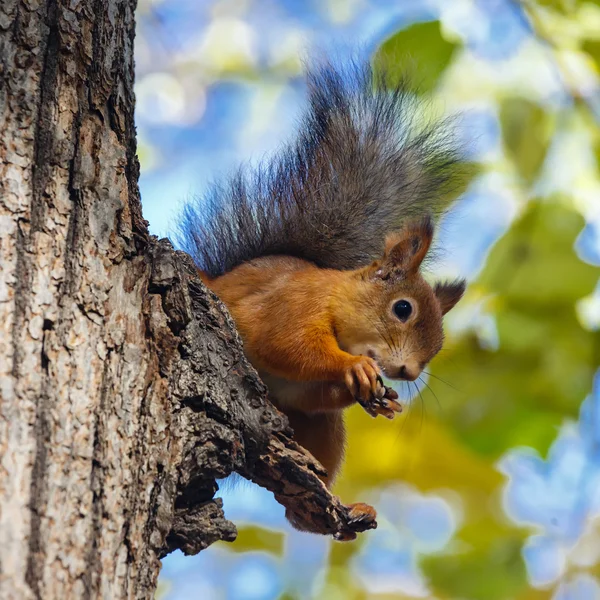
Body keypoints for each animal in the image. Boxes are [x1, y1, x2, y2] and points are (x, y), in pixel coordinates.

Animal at [178, 57, 468, 536]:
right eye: (402, 309)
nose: (408, 372)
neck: (336, 303)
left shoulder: (306, 397)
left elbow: (314, 393)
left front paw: (377, 399)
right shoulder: (293, 305)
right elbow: (286, 344)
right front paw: (355, 369)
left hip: (316, 431)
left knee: (301, 502)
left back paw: (337, 510)